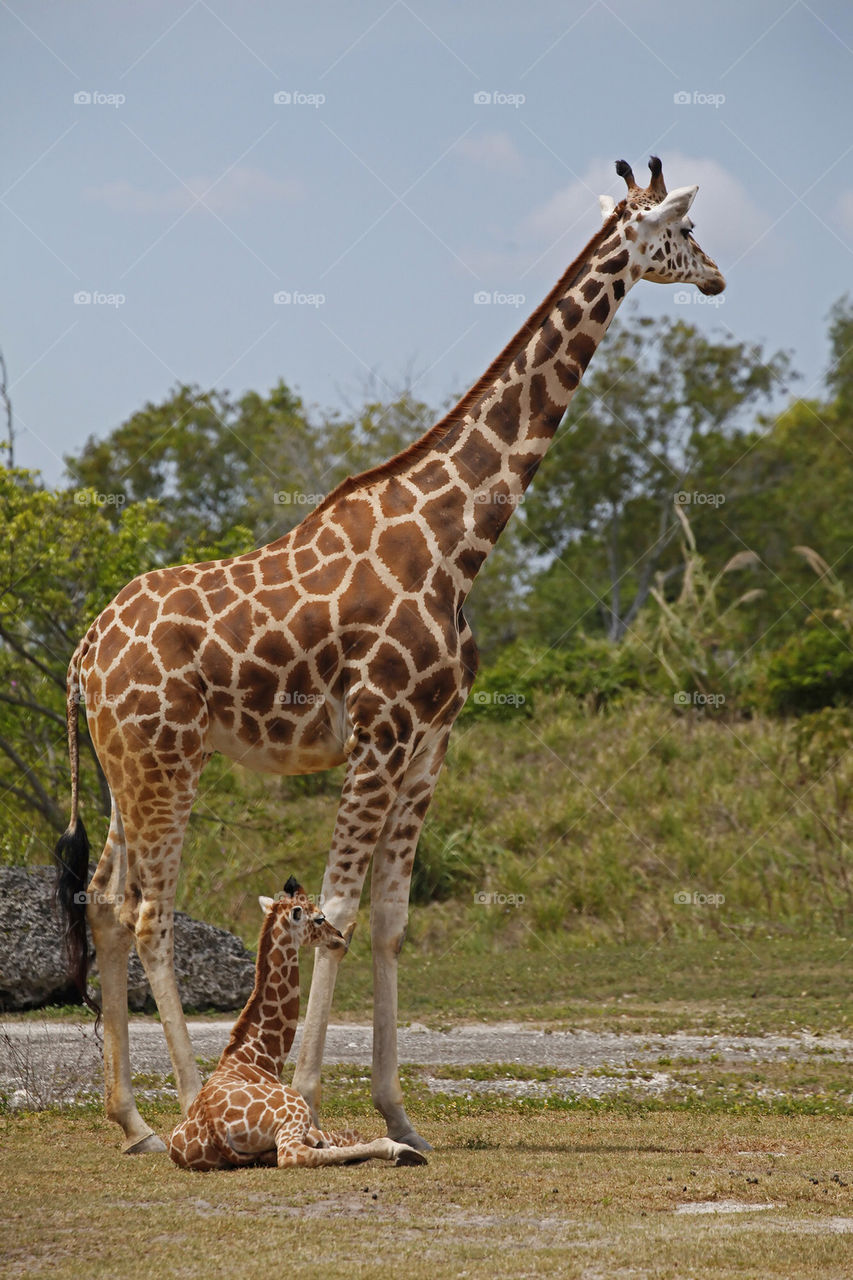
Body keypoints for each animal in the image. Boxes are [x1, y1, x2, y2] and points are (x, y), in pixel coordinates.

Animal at [167, 880, 425, 1172]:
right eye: (319, 917)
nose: (338, 936)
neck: (258, 1058)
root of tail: (215, 1129)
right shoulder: (309, 1123)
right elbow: (346, 1136)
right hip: (295, 1111)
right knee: (293, 1155)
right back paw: (403, 1150)